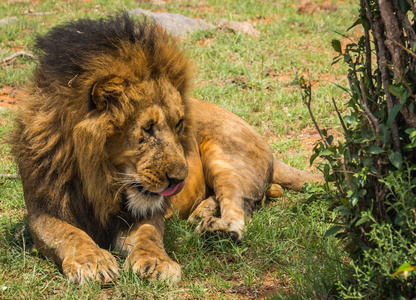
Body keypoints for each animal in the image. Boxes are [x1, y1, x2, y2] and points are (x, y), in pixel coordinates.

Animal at [11, 13, 322, 284]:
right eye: (148, 128)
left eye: (179, 124)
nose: (179, 180)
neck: (100, 180)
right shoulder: (42, 210)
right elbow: (69, 234)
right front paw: (93, 262)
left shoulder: (146, 213)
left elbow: (149, 235)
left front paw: (157, 263)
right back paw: (203, 215)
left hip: (227, 156)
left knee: (240, 208)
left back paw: (220, 230)